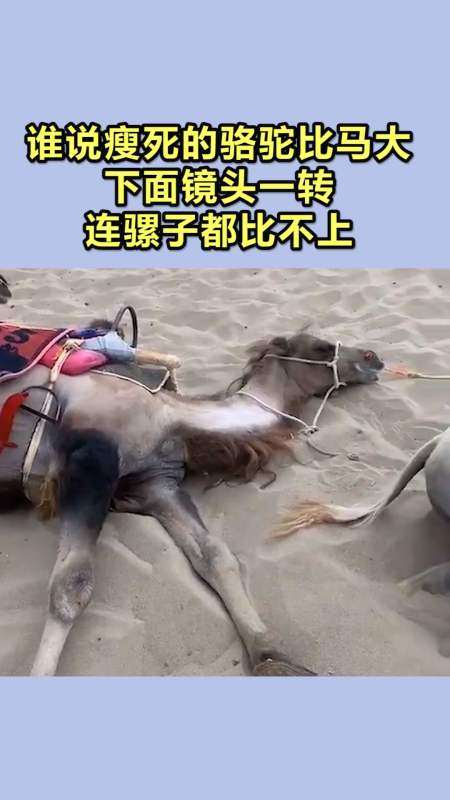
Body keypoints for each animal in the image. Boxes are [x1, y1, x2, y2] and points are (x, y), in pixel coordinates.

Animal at [0, 314, 384, 676]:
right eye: (321, 347)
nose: (374, 356)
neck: (169, 416)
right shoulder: (92, 458)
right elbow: (71, 584)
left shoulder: (156, 483)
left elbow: (215, 555)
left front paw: (272, 656)